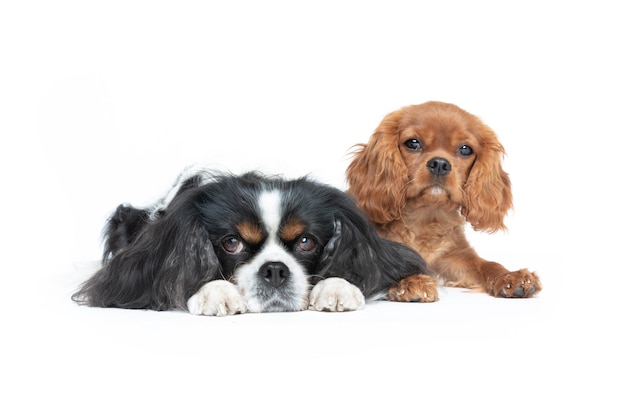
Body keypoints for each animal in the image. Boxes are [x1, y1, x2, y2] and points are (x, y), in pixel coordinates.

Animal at [346, 101, 540, 300]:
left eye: (465, 149)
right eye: (413, 143)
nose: (439, 163)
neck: (426, 216)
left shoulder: (455, 258)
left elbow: (487, 264)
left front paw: (511, 277)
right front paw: (411, 281)